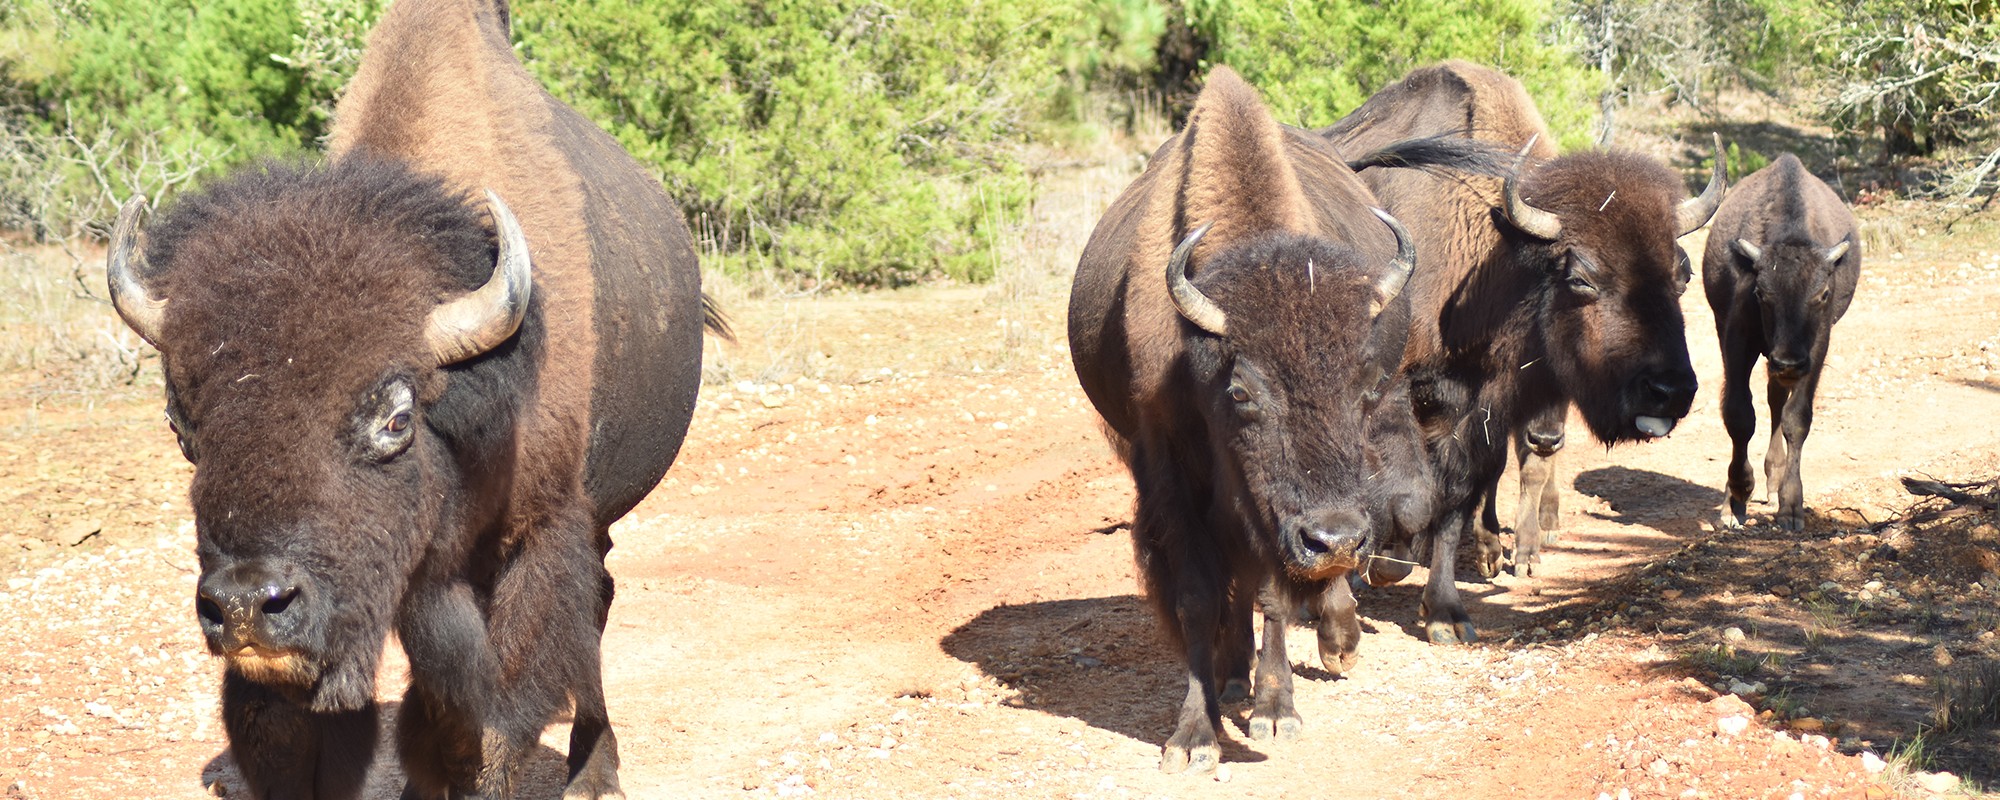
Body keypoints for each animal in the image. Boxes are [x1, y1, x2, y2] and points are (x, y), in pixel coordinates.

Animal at [101, 3, 728, 796]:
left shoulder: (541, 536)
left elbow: (497, 722)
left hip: (594, 519)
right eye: (183, 428)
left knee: (597, 608)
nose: (247, 604)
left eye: (395, 418)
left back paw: (595, 769)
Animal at [1080, 67, 1456, 776]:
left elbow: (1272, 595)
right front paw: (1194, 736)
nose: (1335, 540)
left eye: (1366, 385)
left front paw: (1277, 710)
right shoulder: (1171, 476)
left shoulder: (1276, 519)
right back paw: (1232, 677)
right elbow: (1198, 596)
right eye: (1242, 392)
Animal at [1328, 59, 1720, 640]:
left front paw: (1444, 614)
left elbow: (1455, 496)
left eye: (1682, 275)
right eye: (1581, 278)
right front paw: (1374, 569)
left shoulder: (1478, 408)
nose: (1669, 390)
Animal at [1704, 155, 1856, 532]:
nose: (1788, 363)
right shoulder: (1736, 341)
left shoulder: (1815, 350)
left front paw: (1790, 507)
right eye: (1761, 293)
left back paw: (1774, 484)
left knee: (1777, 401)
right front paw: (1736, 497)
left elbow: (1796, 419)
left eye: (1823, 294)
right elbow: (1739, 414)